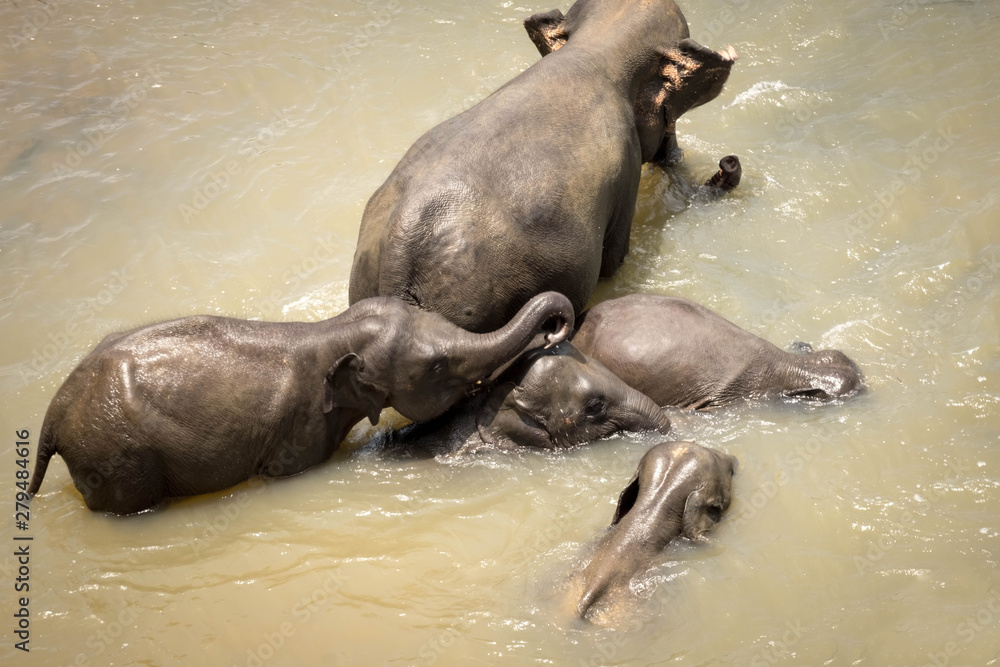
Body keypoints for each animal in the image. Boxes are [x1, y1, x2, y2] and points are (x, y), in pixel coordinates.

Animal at [27, 293, 574, 515]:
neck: (330, 331)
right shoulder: (298, 431)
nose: (556, 330)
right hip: (117, 460)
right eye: (438, 367)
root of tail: (52, 415)